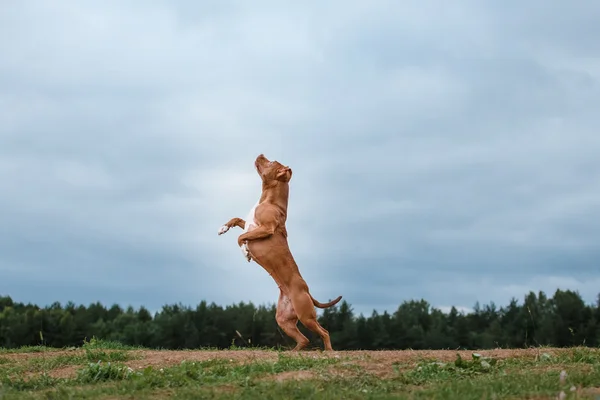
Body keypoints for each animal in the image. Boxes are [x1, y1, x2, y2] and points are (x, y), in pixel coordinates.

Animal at [219, 153, 342, 350]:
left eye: (271, 162)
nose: (261, 154)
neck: (269, 200)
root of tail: (306, 290)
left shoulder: (266, 228)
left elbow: (240, 238)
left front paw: (245, 251)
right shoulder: (249, 224)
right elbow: (236, 219)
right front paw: (223, 228)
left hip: (306, 316)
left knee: (324, 332)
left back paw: (329, 351)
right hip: (284, 320)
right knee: (304, 339)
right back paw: (293, 352)